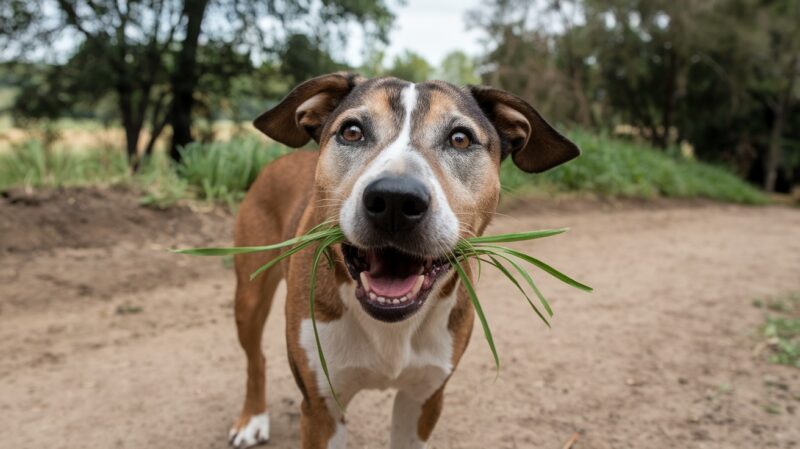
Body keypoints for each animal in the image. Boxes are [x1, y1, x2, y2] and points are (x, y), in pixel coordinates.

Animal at [228, 73, 580, 448]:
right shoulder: (321, 408)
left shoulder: (425, 397)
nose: (395, 199)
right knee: (255, 357)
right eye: (352, 131)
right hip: (249, 297)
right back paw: (252, 417)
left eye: (460, 138)